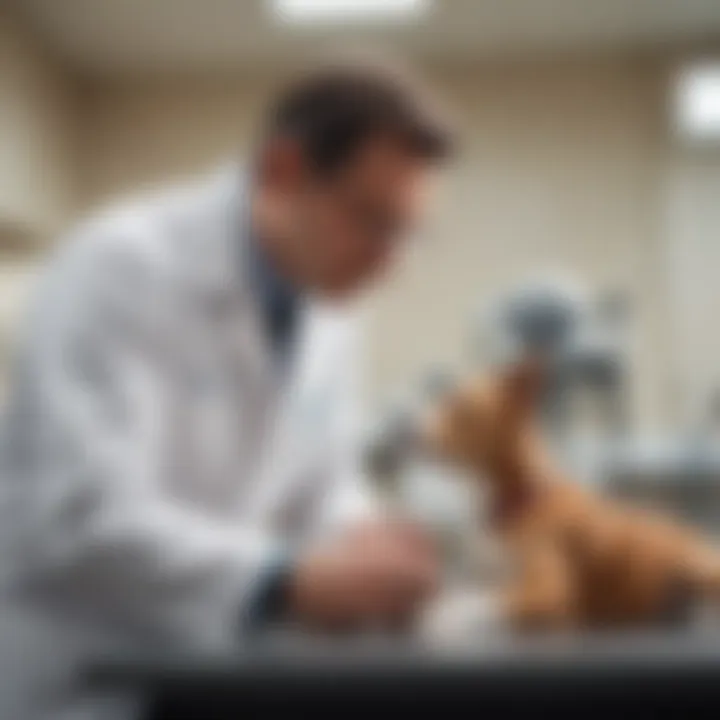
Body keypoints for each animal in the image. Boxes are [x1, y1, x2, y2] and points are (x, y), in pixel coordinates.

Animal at [420, 360, 720, 632]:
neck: (524, 493)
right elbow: (474, 587)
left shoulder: (548, 591)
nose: (417, 436)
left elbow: (485, 599)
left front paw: (444, 614)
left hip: (699, 562)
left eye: (462, 410)